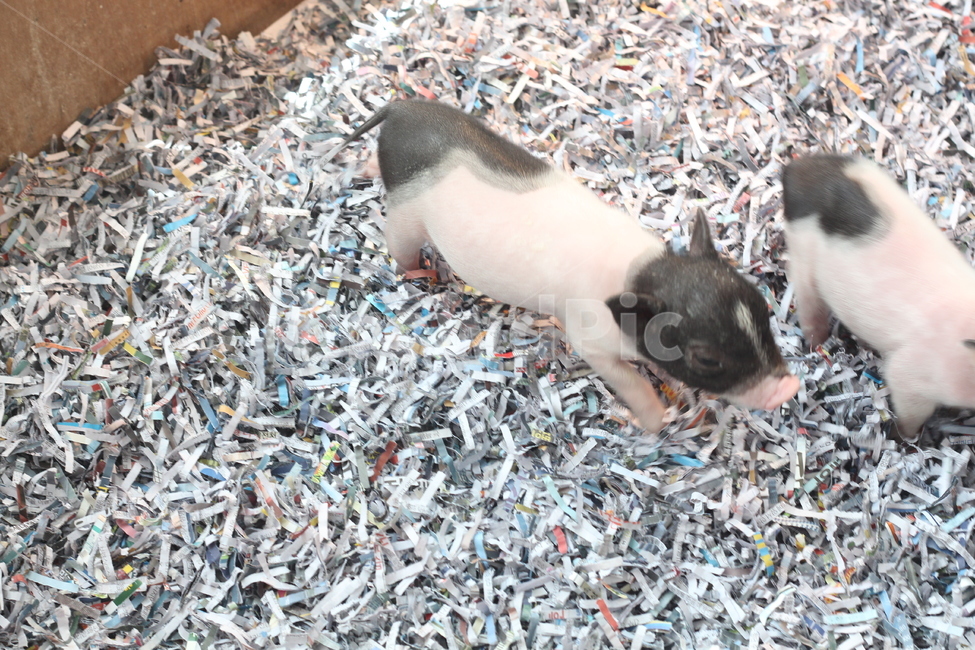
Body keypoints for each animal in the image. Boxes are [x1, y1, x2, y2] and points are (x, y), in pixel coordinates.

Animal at [335, 99, 799, 433]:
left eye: (762, 311)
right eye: (706, 359)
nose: (789, 387)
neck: (642, 274)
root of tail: (398, 109)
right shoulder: (588, 338)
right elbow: (631, 383)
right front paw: (648, 424)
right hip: (406, 216)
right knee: (398, 244)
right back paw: (422, 272)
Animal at [782, 153, 975, 439]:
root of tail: (794, 168)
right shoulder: (913, 375)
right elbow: (909, 410)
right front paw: (904, 438)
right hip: (803, 256)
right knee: (809, 306)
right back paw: (816, 345)